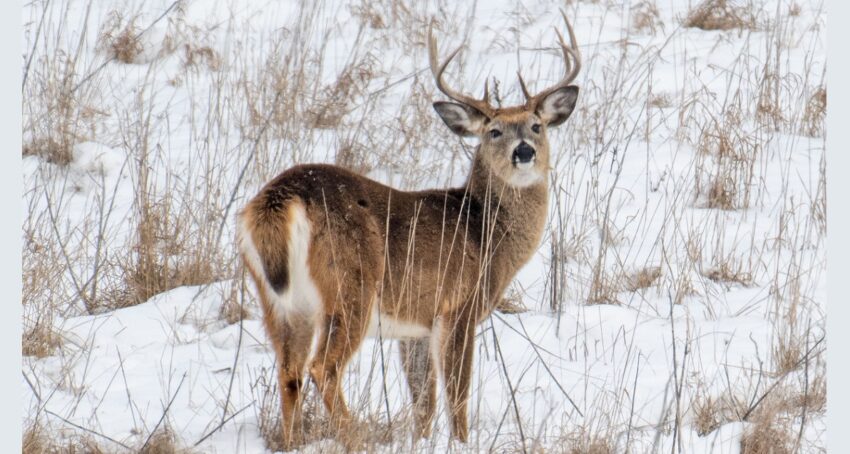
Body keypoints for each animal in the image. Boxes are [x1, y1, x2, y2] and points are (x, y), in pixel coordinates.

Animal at [237, 11, 581, 449]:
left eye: (537, 126)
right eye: (494, 131)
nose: (524, 151)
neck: (483, 231)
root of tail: (279, 197)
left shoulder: (414, 327)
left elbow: (423, 403)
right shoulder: (459, 304)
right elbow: (457, 395)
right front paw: (461, 443)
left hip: (278, 301)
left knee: (288, 372)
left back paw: (294, 442)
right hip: (351, 286)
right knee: (323, 368)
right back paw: (354, 438)